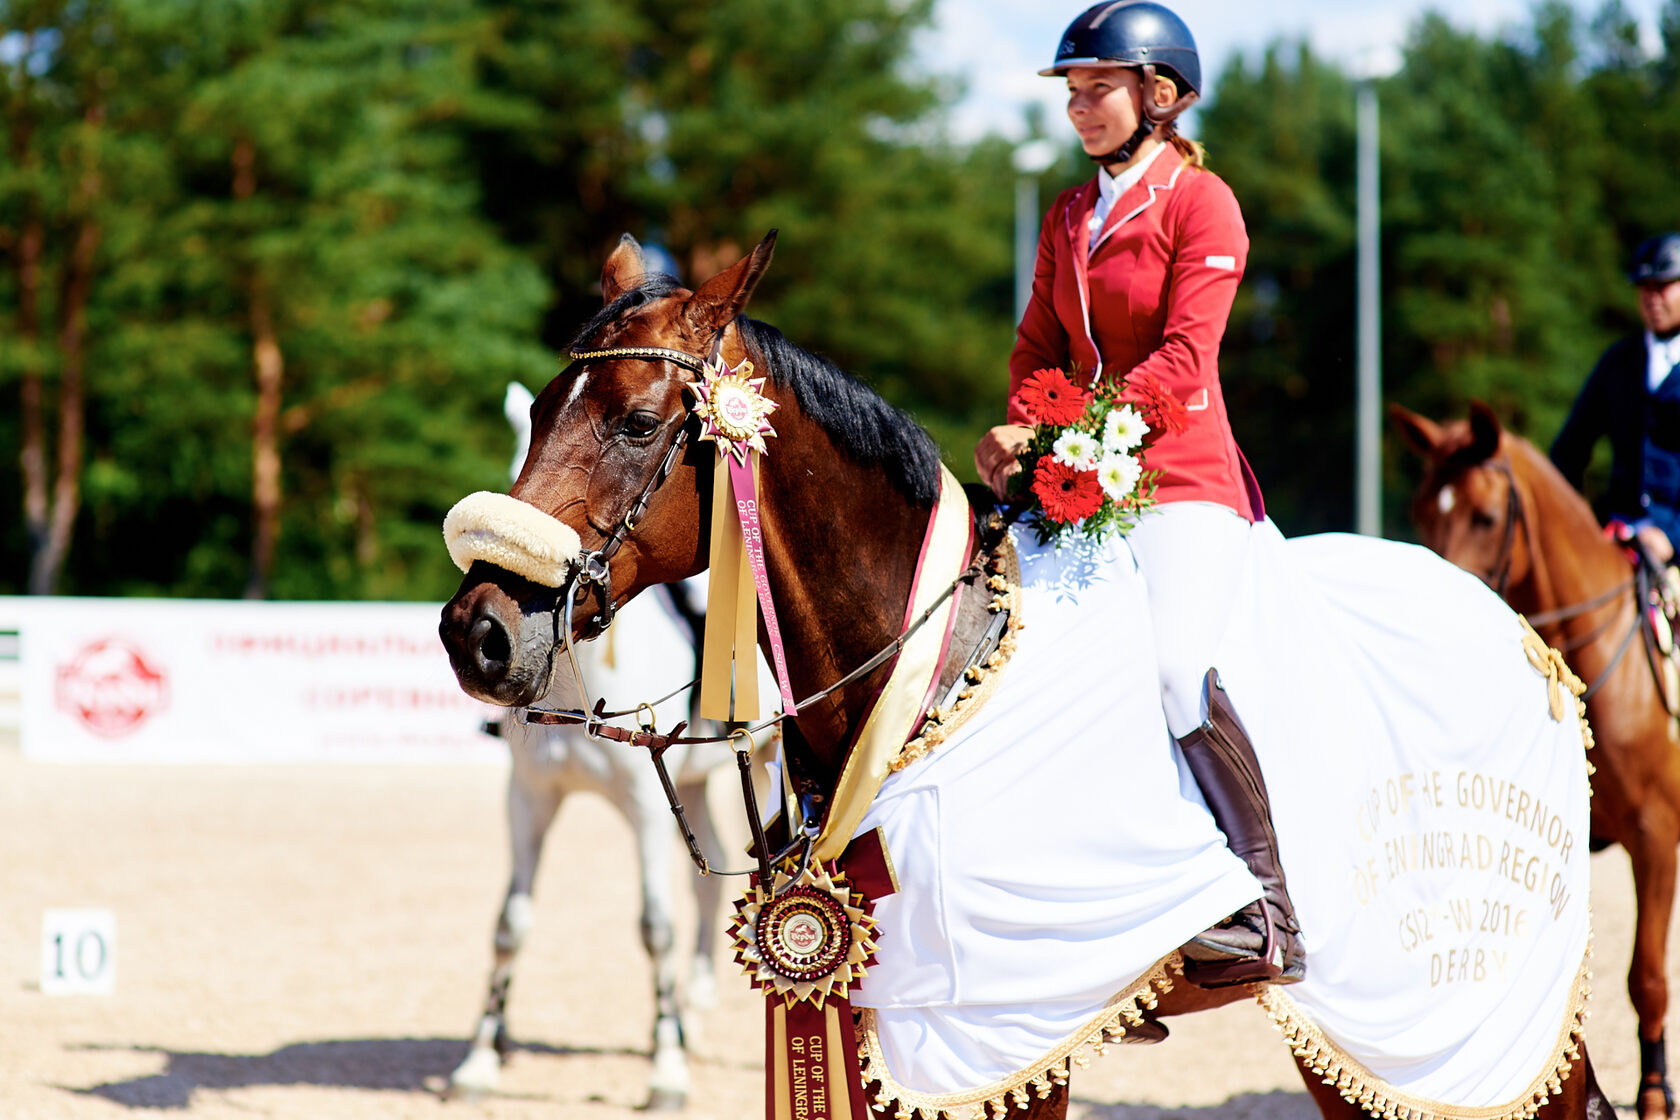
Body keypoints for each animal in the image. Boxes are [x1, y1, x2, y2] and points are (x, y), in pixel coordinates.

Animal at [443, 387, 766, 1114]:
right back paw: (697, 1008)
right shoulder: (529, 798)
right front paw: (481, 1059)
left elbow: (655, 929)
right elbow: (509, 924)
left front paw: (666, 1071)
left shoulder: (647, 807)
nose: (480, 635)